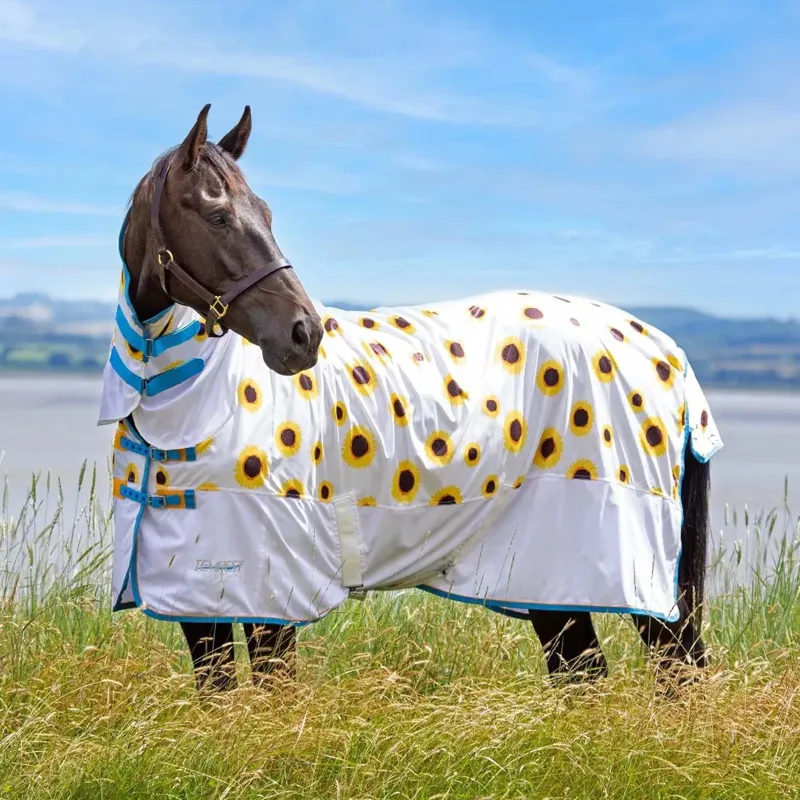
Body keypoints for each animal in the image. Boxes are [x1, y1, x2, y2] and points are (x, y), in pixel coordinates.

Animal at [100, 104, 722, 694]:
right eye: (218, 215)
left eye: (267, 214)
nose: (303, 334)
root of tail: (667, 351)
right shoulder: (194, 599)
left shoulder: (266, 597)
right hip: (550, 581)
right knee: (585, 673)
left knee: (674, 668)